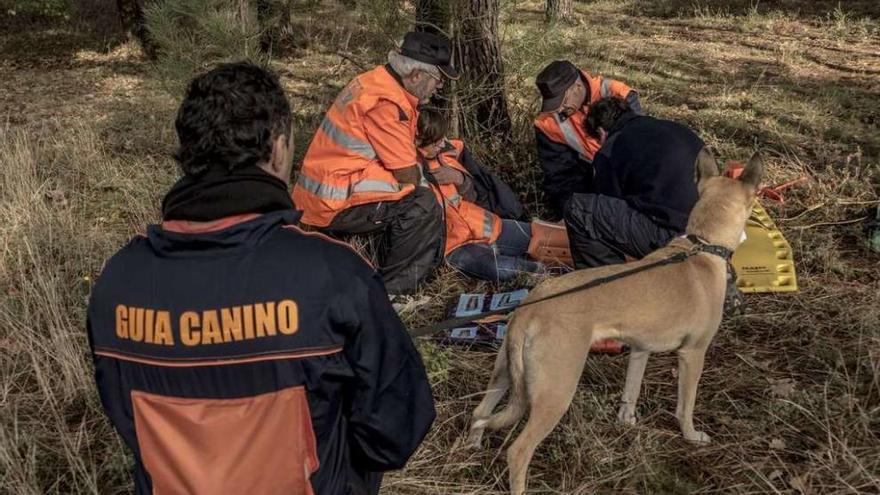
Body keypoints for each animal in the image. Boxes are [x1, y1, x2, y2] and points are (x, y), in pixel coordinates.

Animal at [468, 153, 764, 494]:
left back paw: (471, 449)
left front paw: (627, 422)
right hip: (556, 391)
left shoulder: (640, 350)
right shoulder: (693, 354)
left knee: (480, 413)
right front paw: (692, 436)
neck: (701, 246)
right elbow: (685, 406)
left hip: (505, 374)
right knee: (518, 451)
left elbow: (630, 392)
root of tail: (530, 308)